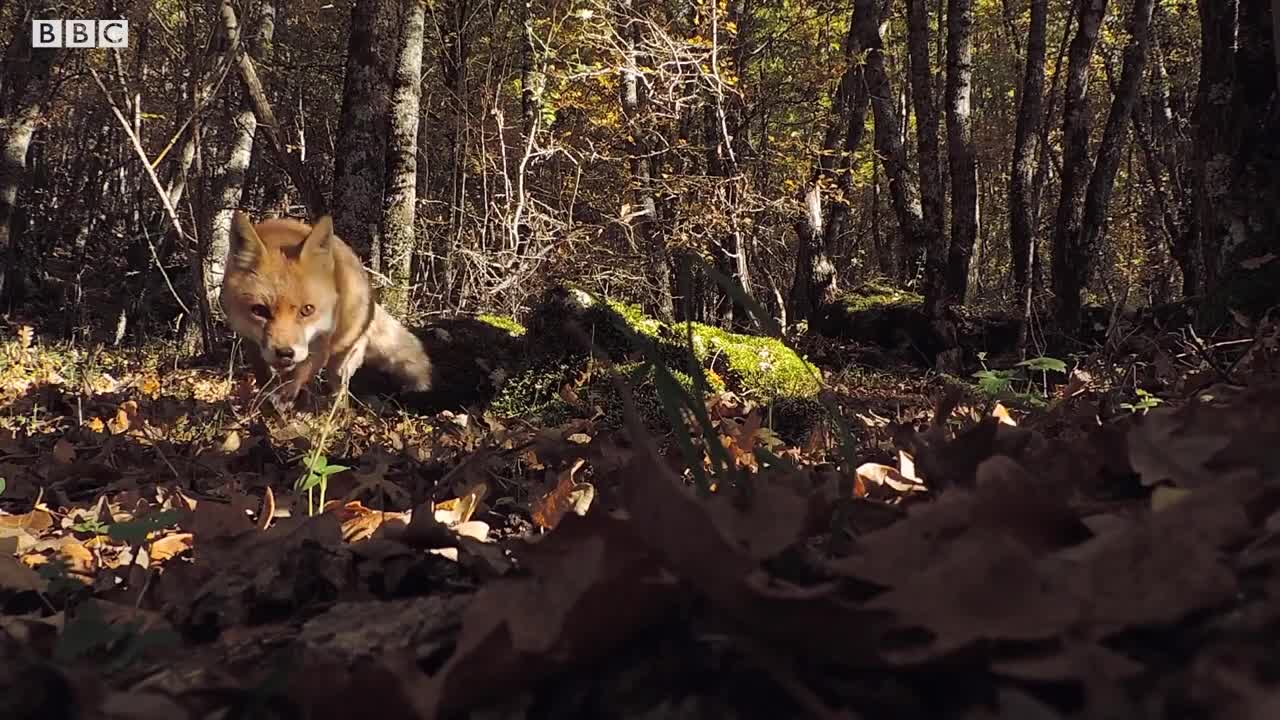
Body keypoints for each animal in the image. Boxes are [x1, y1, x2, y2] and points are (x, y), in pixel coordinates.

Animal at [220, 208, 435, 409]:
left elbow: (299, 375)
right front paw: (267, 399)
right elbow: (263, 373)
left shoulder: (321, 342)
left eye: (307, 310)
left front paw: (282, 399)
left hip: (344, 358)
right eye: (259, 311)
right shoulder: (249, 340)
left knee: (339, 385)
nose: (285, 353)